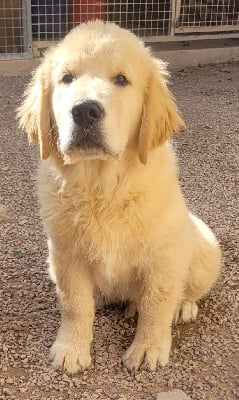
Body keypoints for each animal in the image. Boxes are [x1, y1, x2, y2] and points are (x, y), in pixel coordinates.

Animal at [17, 20, 221, 374]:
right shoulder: (65, 254)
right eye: (67, 78)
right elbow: (75, 304)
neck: (103, 186)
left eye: (122, 79)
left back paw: (182, 307)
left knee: (184, 291)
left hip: (205, 251)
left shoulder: (162, 256)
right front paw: (71, 348)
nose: (85, 110)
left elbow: (156, 302)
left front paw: (148, 348)